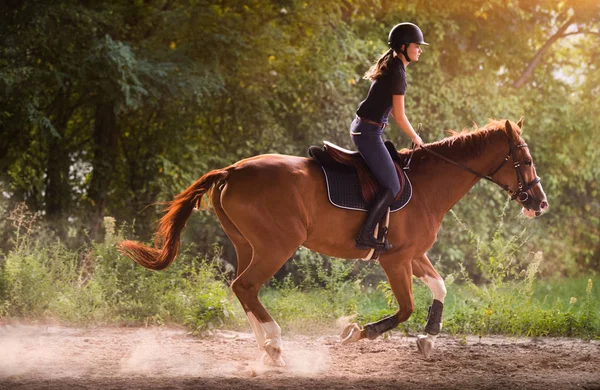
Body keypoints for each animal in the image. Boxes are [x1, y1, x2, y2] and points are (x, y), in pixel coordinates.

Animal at [118, 119, 548, 366]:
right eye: (525, 160)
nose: (540, 203)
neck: (428, 185)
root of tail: (232, 171)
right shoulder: (395, 260)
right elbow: (405, 308)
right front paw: (358, 332)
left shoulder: (414, 254)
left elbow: (440, 286)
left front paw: (428, 337)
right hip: (277, 246)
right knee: (246, 286)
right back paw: (275, 346)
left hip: (247, 245)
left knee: (242, 289)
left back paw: (265, 348)